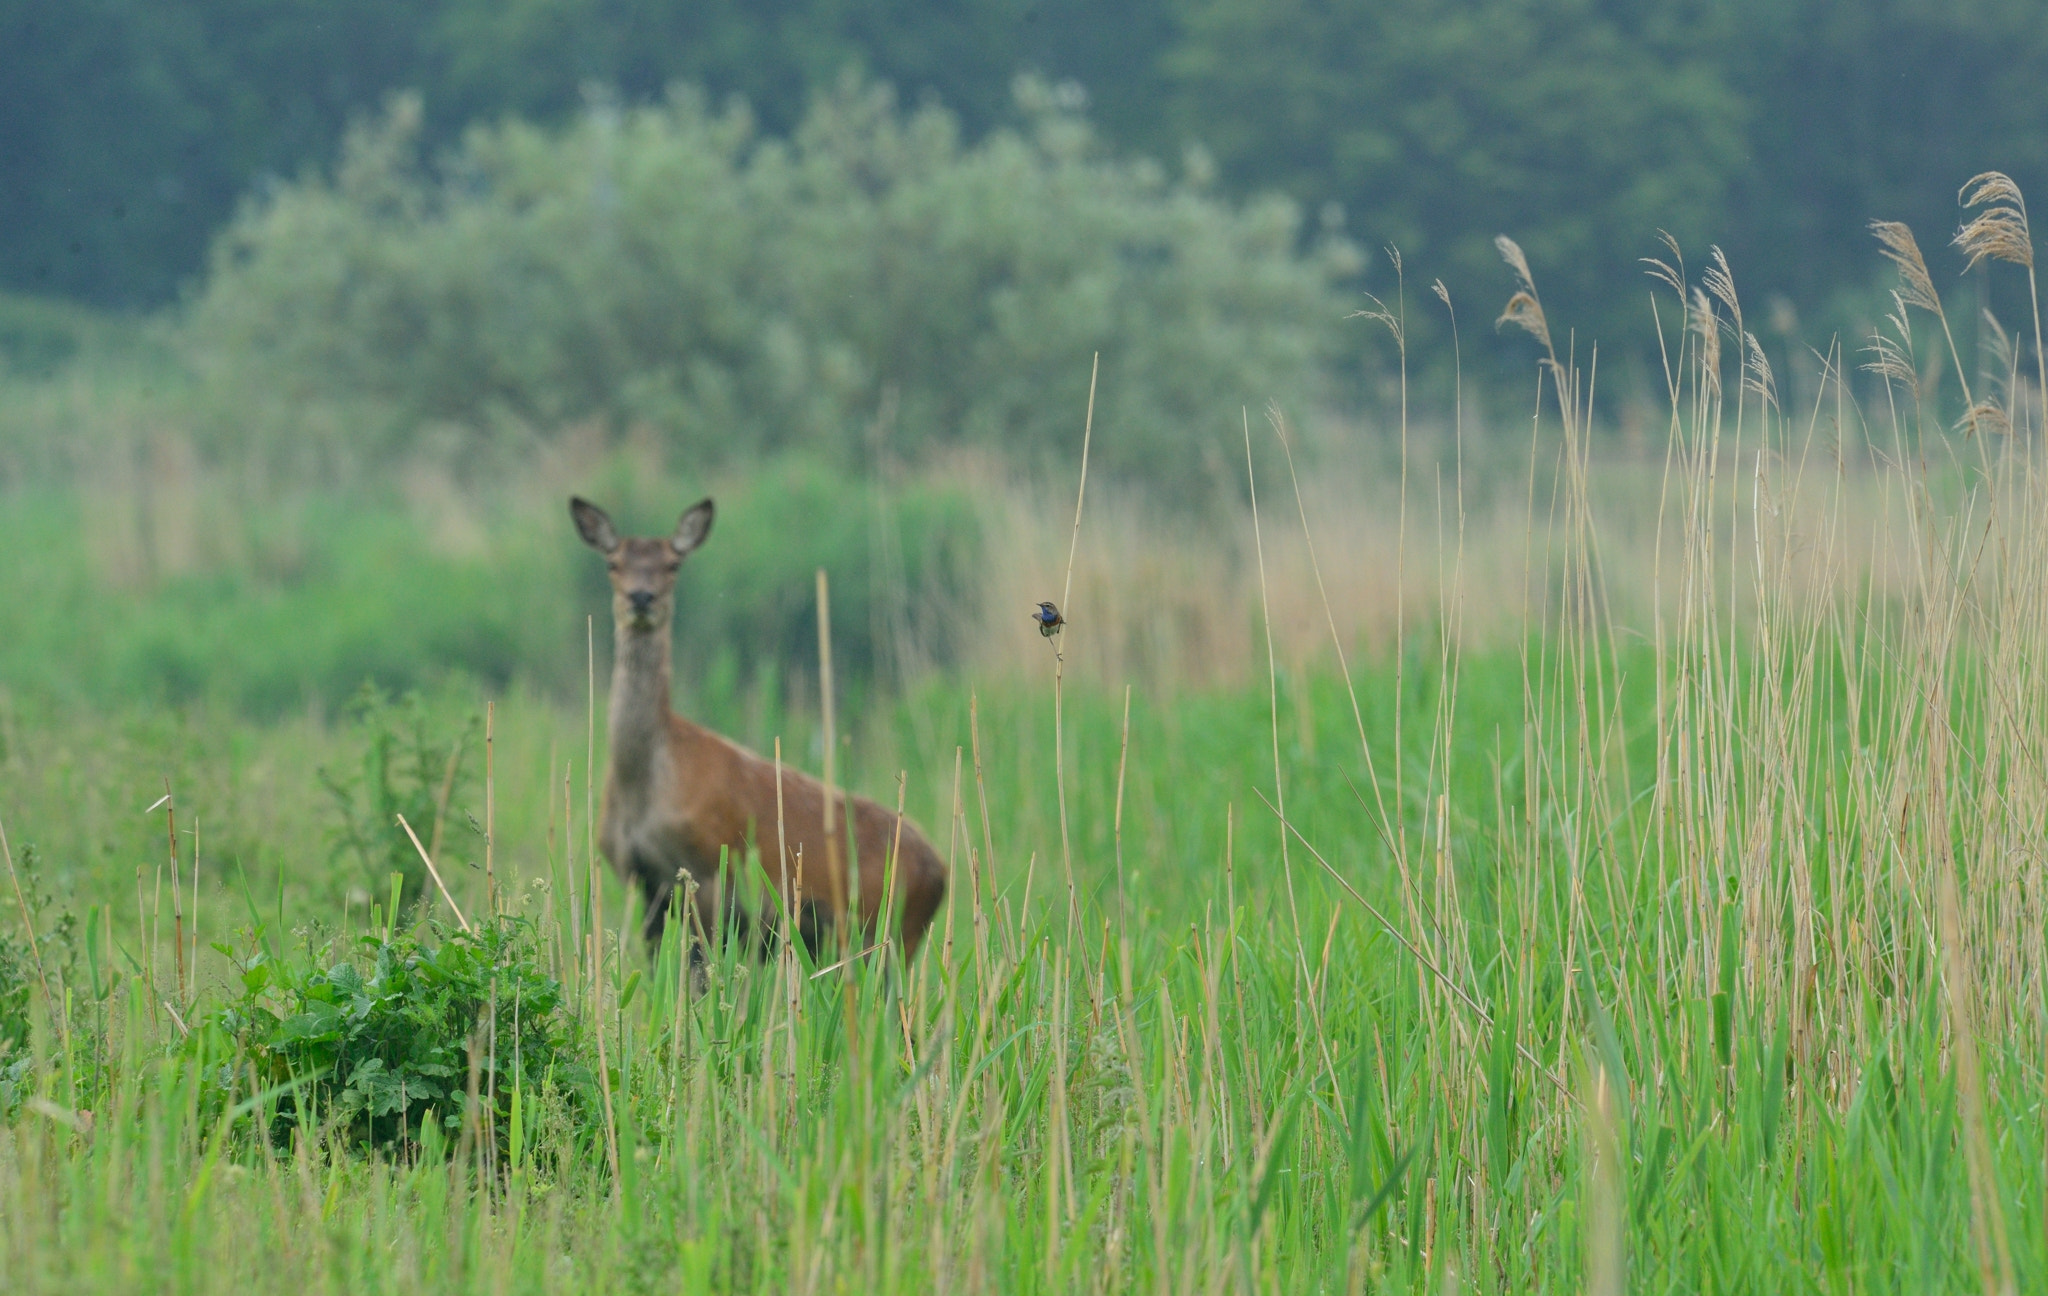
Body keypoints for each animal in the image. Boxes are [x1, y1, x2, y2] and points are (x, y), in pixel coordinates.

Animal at [573, 495, 946, 962]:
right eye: (613, 562)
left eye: (673, 564)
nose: (642, 597)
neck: (645, 789)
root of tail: (942, 873)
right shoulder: (640, 881)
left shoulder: (711, 868)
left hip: (893, 931)